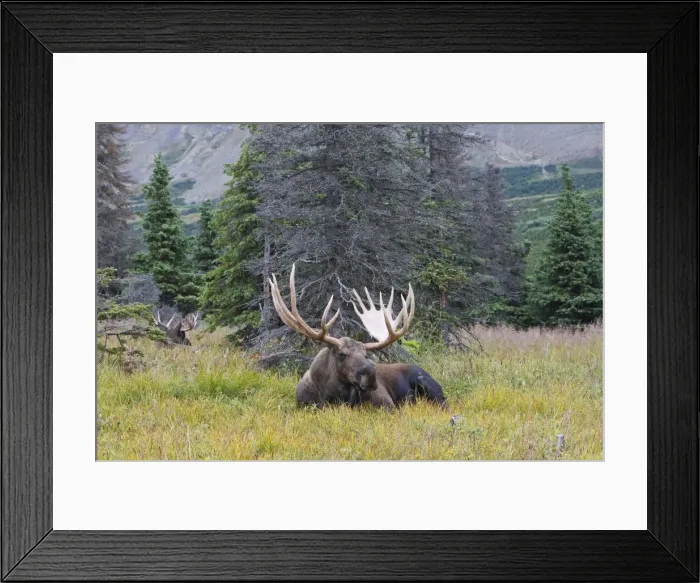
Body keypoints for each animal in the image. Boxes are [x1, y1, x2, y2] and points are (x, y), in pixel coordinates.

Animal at [269, 264, 447, 411]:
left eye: (366, 354)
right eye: (342, 354)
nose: (371, 375)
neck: (329, 396)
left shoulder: (386, 403)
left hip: (431, 387)